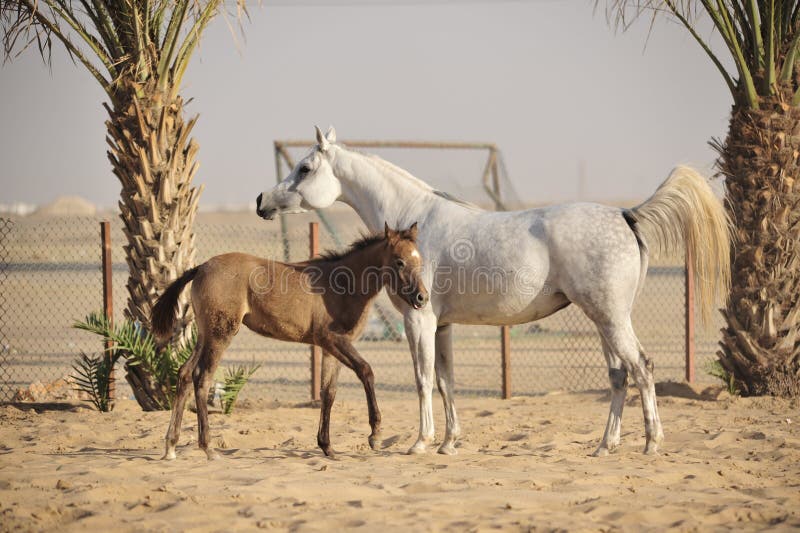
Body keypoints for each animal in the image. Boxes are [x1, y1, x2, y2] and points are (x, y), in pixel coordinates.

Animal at [152, 222, 428, 460]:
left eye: (420, 261)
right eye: (400, 261)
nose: (422, 298)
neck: (343, 284)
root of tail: (201, 267)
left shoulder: (329, 348)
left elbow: (328, 392)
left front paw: (327, 447)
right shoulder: (334, 340)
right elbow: (366, 371)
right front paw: (375, 435)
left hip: (205, 334)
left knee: (185, 373)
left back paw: (171, 446)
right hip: (221, 334)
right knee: (202, 378)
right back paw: (208, 448)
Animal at [256, 127, 732, 456]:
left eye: (305, 168)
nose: (262, 200)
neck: (414, 222)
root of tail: (626, 214)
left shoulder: (419, 318)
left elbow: (422, 379)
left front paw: (420, 442)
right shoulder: (442, 324)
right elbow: (446, 380)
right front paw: (449, 442)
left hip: (611, 318)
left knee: (642, 368)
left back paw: (651, 442)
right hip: (605, 320)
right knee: (619, 376)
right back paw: (604, 446)